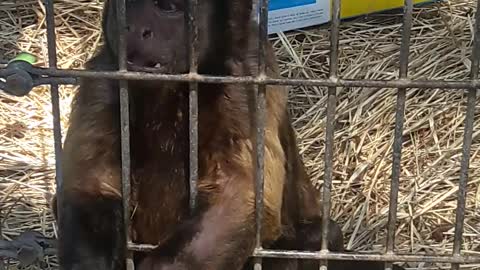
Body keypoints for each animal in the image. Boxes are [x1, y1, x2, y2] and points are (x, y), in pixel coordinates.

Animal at [49, 0, 404, 270]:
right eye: (127, 8)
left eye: (168, 7)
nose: (134, 29)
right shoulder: (103, 78)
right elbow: (89, 186)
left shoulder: (242, 82)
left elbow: (241, 193)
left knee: (323, 236)